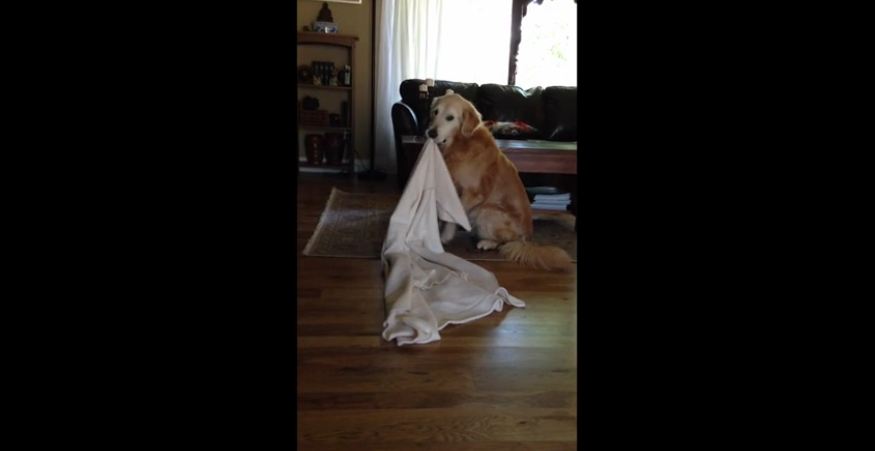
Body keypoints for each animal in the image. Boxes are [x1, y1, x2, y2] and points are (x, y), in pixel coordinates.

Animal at [426, 90, 576, 270]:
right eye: (435, 112)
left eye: (450, 117)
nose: (431, 132)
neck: (461, 143)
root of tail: (527, 239)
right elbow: (443, 214)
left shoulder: (473, 194)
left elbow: (450, 217)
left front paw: (444, 238)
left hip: (486, 211)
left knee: (506, 242)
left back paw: (487, 242)